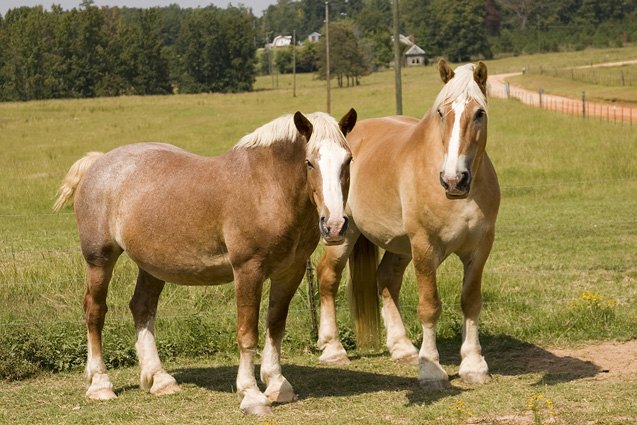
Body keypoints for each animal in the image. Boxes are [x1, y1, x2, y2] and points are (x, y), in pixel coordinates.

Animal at [54, 107, 358, 412]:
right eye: (309, 162)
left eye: (348, 160)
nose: (334, 226)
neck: (266, 186)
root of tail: (98, 162)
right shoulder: (248, 270)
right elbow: (247, 333)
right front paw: (251, 394)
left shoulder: (290, 272)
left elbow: (275, 326)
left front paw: (277, 385)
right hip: (99, 260)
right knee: (95, 311)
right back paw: (100, 384)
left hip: (153, 266)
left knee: (142, 307)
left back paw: (159, 379)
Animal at [316, 59, 500, 388]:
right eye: (441, 113)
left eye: (479, 113)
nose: (454, 179)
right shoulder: (424, 247)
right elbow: (429, 306)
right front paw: (431, 370)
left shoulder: (479, 249)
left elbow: (471, 302)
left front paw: (474, 365)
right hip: (341, 234)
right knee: (327, 277)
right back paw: (333, 349)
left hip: (399, 246)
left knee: (386, 279)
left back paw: (402, 348)